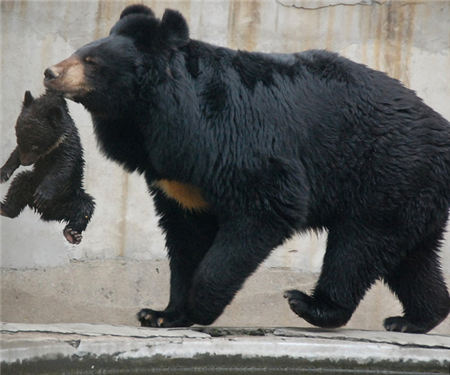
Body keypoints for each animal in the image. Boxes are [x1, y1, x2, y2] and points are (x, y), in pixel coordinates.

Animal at [0, 90, 94, 244]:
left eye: (35, 145)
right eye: (18, 138)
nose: (25, 162)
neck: (52, 146)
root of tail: (48, 214)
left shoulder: (66, 146)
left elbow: (62, 168)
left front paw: (43, 194)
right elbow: (15, 154)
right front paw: (3, 173)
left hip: (70, 195)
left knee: (85, 207)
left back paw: (72, 234)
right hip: (31, 183)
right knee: (19, 184)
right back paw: (4, 208)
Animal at [43, 4, 450, 334]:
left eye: (91, 61)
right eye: (77, 52)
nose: (50, 71)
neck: (152, 118)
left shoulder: (234, 139)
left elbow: (266, 206)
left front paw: (199, 306)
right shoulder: (179, 177)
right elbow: (185, 233)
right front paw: (161, 313)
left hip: (387, 170)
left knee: (357, 245)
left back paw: (312, 304)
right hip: (411, 190)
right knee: (411, 257)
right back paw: (415, 318)